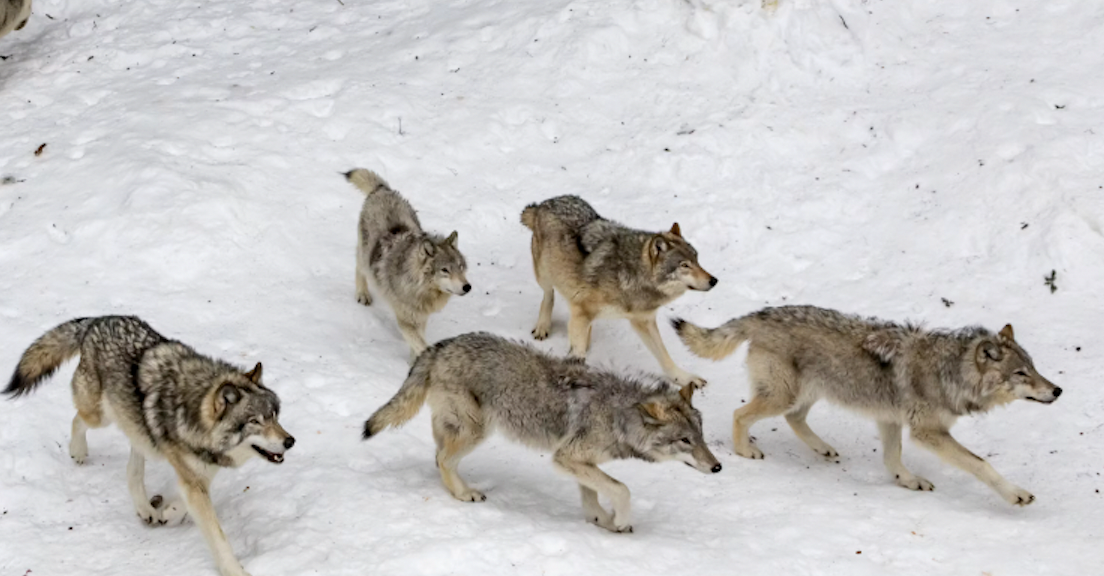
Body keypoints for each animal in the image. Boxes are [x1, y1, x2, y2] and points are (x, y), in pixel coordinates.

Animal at [5, 316, 295, 576]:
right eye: (255, 422)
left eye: (275, 416)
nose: (290, 441)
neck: (193, 415)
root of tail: (97, 321)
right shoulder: (194, 479)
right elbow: (218, 536)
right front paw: (235, 571)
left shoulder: (200, 474)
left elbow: (184, 502)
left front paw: (169, 512)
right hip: (100, 416)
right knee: (77, 420)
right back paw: (78, 452)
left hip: (139, 433)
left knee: (131, 470)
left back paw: (146, 509)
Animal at [346, 168, 470, 359]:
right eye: (445, 270)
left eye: (461, 267)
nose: (467, 287)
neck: (418, 288)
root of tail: (383, 190)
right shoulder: (406, 321)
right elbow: (420, 344)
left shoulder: (421, 318)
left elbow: (417, 343)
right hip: (365, 256)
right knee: (359, 268)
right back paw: (362, 294)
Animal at [363, 332, 721, 533]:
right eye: (685, 441)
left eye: (702, 437)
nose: (718, 467)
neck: (618, 415)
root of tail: (441, 345)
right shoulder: (567, 457)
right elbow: (622, 489)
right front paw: (618, 520)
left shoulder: (578, 461)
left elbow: (593, 494)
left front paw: (602, 522)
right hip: (477, 431)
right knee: (442, 458)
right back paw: (465, 494)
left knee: (437, 454)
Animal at [520, 195, 717, 387]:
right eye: (685, 265)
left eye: (697, 260)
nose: (714, 281)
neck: (631, 275)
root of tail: (544, 203)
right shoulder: (581, 311)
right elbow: (578, 350)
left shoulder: (644, 321)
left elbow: (665, 357)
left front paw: (684, 378)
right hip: (545, 275)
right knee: (549, 296)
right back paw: (543, 327)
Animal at [673, 305, 1062, 506]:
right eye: (1021, 373)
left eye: (1034, 368)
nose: (1057, 390)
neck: (949, 372)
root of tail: (763, 313)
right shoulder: (928, 433)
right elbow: (982, 465)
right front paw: (1016, 494)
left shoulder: (890, 419)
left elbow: (892, 459)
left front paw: (907, 481)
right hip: (783, 395)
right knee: (741, 414)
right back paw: (745, 451)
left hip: (807, 393)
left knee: (794, 419)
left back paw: (823, 449)